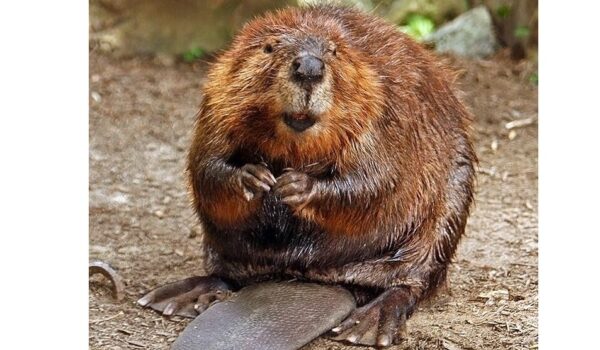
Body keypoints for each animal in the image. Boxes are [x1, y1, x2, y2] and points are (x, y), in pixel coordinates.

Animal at [138, 4, 476, 348]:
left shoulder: (386, 106)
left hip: (449, 206)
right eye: (269, 47)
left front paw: (294, 185)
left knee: (410, 282)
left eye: (334, 51)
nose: (310, 68)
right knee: (227, 274)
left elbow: (376, 180)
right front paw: (255, 178)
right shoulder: (217, 98)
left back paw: (368, 324)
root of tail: (316, 277)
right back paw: (177, 296)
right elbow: (206, 164)